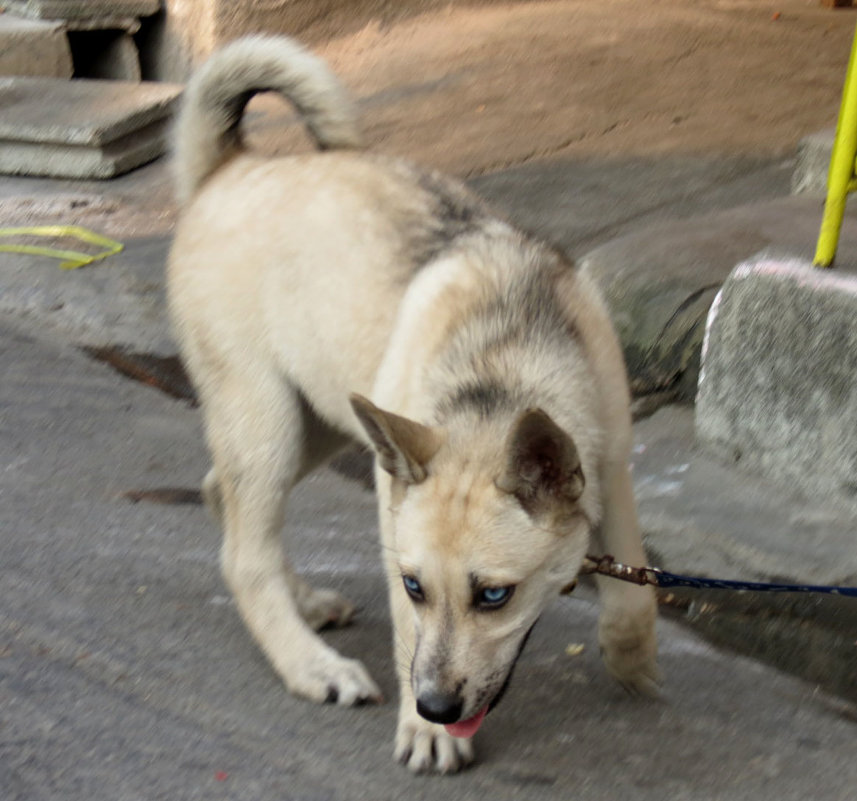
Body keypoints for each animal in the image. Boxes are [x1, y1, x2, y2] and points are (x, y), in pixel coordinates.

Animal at [169, 36, 664, 776]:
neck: (501, 365)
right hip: (270, 425)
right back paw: (312, 665)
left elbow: (634, 596)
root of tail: (229, 167)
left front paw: (631, 661)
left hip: (323, 421)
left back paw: (305, 602)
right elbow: (409, 636)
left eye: (494, 595)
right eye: (413, 587)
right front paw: (424, 732)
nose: (434, 707)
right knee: (243, 555)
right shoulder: (392, 509)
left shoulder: (611, 469)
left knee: (219, 498)